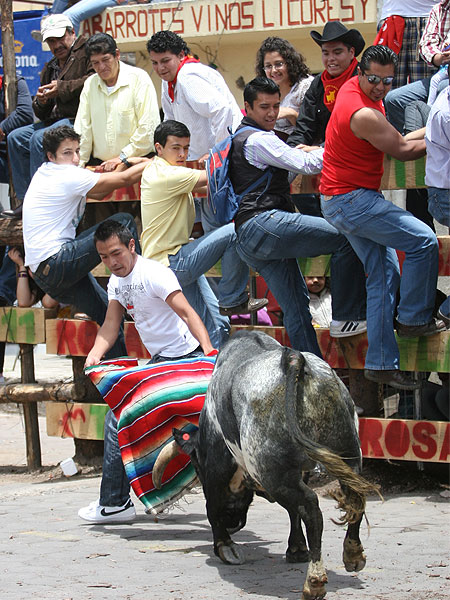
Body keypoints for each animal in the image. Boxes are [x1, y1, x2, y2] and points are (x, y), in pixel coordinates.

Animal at [154, 330, 380, 596]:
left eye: (197, 465)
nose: (233, 523)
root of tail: (293, 360)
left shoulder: (217, 465)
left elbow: (213, 504)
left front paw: (224, 546)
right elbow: (293, 512)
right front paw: (297, 549)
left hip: (272, 473)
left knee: (311, 508)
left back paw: (314, 580)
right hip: (347, 452)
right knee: (353, 497)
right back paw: (352, 554)